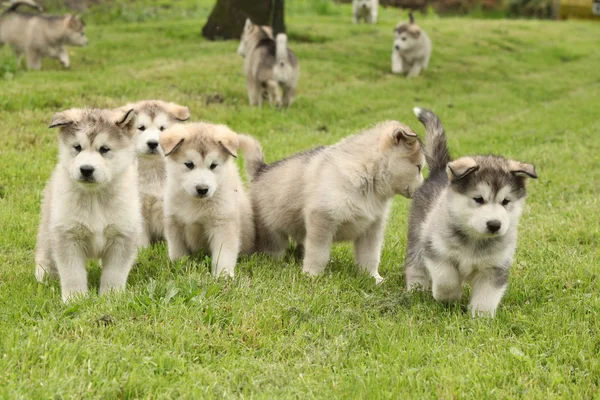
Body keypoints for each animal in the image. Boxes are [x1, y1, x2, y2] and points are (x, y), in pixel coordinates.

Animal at [35, 108, 142, 302]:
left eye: (104, 149)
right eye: (77, 147)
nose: (86, 169)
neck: (94, 197)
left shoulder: (122, 236)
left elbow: (114, 273)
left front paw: (111, 297)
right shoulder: (67, 235)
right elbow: (73, 273)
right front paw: (74, 298)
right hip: (49, 224)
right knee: (44, 250)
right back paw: (44, 275)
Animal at [159, 122, 255, 278]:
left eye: (213, 165)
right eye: (189, 164)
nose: (202, 189)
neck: (195, 202)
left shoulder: (222, 223)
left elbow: (223, 255)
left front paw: (223, 276)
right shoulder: (174, 222)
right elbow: (178, 252)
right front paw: (179, 269)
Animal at [244, 120, 426, 282]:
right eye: (419, 167)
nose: (424, 189)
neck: (366, 176)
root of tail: (261, 170)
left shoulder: (372, 227)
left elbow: (370, 255)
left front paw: (373, 278)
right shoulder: (322, 220)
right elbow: (319, 254)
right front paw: (312, 276)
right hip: (271, 229)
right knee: (275, 247)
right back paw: (276, 261)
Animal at [404, 108, 540, 318]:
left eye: (506, 201)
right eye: (478, 199)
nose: (494, 224)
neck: (475, 240)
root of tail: (439, 170)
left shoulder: (495, 267)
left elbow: (487, 296)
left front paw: (481, 318)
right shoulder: (436, 250)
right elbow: (446, 279)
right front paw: (448, 297)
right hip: (417, 235)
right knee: (415, 264)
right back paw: (416, 289)